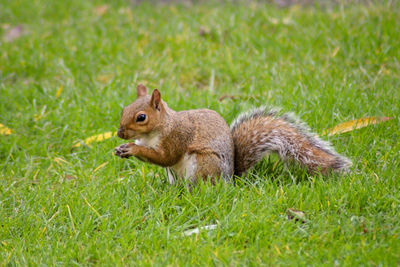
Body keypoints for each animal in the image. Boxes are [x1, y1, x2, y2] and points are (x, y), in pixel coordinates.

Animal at [115, 85, 350, 185]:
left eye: (141, 117)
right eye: (123, 109)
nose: (119, 133)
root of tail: (230, 180)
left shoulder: (177, 137)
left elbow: (165, 157)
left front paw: (133, 149)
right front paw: (121, 149)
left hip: (204, 163)